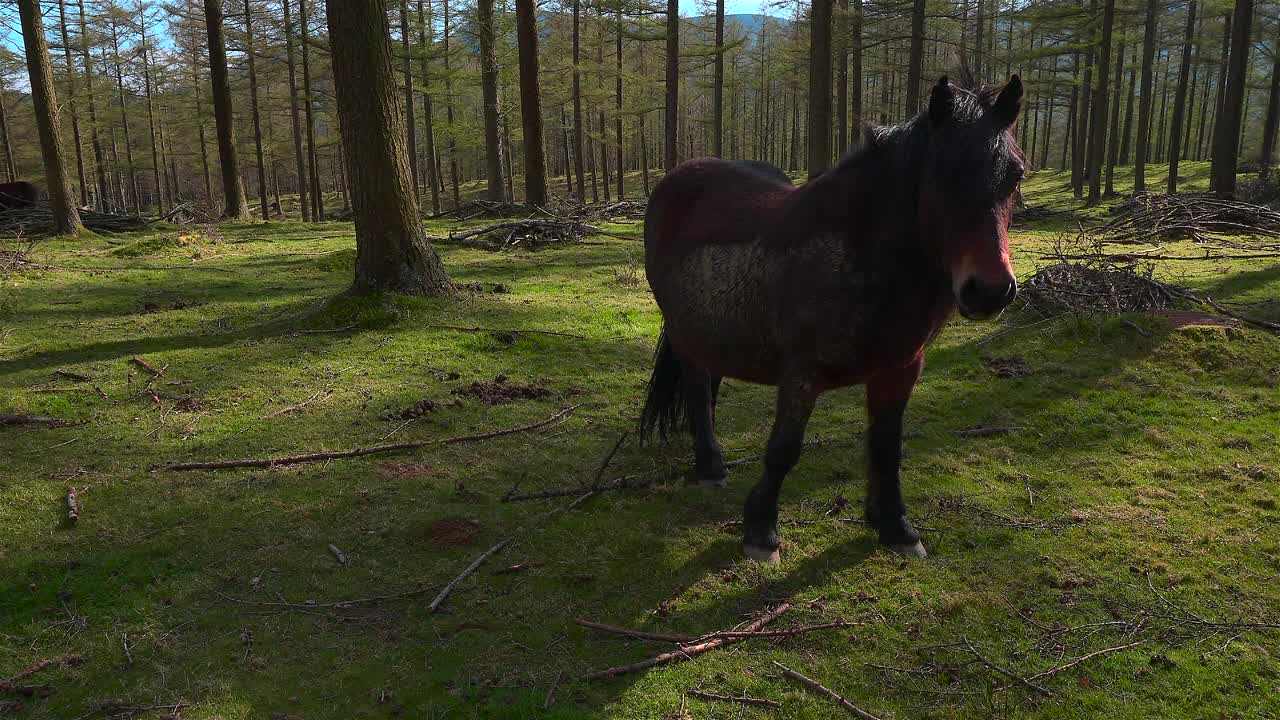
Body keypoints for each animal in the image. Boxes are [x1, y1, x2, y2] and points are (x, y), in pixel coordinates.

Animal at [645, 77, 1024, 561]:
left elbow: (886, 447)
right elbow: (784, 449)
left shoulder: (900, 369)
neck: (863, 257)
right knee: (697, 391)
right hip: (684, 333)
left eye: (1015, 174)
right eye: (941, 174)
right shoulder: (802, 373)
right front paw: (761, 530)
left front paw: (895, 525)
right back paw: (710, 466)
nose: (990, 290)